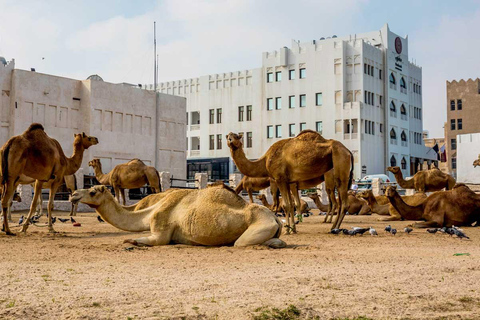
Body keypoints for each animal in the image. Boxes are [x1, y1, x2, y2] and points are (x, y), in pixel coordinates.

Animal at [69, 184, 286, 249]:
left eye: (93, 192)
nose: (73, 194)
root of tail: (275, 217)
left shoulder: (161, 229)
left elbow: (154, 240)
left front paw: (131, 240)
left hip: (259, 226)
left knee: (241, 243)